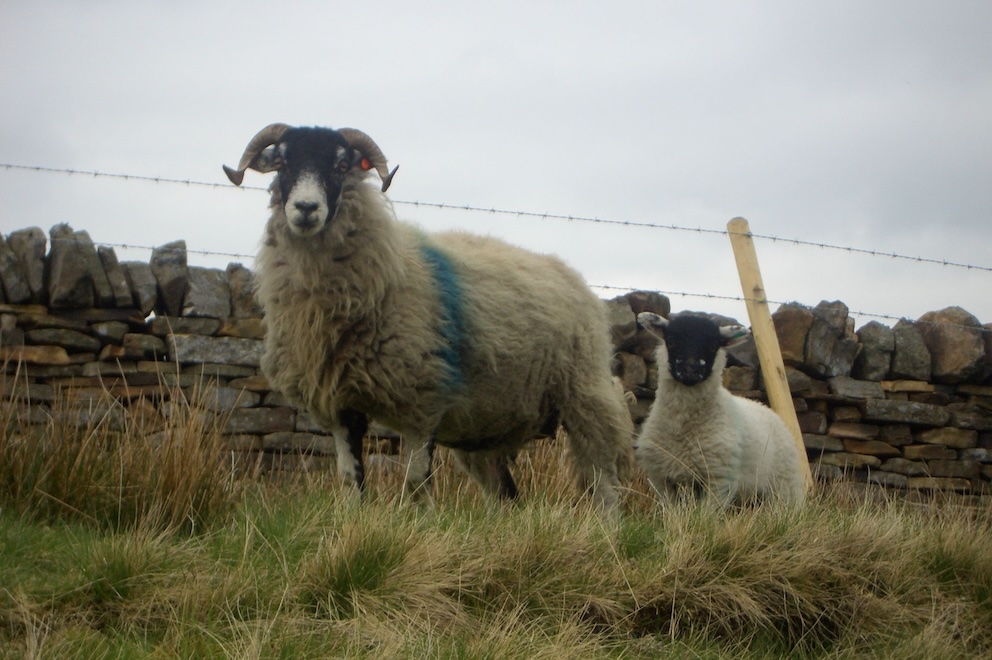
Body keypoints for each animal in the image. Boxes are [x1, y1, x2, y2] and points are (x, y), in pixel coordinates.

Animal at [224, 123, 633, 509]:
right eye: (282, 162)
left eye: (341, 165)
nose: (306, 208)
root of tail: (568, 272)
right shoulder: (340, 404)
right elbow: (350, 481)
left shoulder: (422, 400)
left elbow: (416, 485)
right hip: (487, 425)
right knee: (506, 495)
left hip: (586, 395)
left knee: (604, 485)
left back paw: (608, 529)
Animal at [634, 312, 806, 506]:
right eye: (671, 341)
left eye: (712, 346)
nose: (690, 371)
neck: (683, 429)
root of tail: (765, 408)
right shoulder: (660, 479)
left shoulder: (719, 480)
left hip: (785, 487)